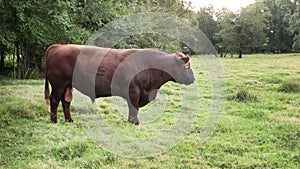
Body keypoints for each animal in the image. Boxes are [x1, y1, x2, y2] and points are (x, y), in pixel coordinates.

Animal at [44, 44, 195, 125]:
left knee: (66, 102)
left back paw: (69, 120)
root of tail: (58, 46)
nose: (193, 78)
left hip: (67, 85)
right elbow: (134, 108)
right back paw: (54, 121)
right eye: (187, 66)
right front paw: (134, 122)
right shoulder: (134, 91)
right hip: (59, 84)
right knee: (54, 100)